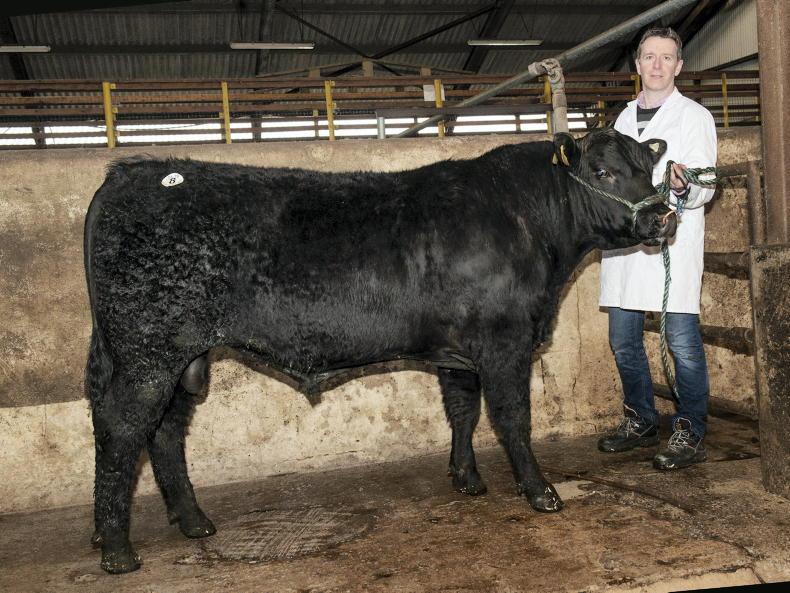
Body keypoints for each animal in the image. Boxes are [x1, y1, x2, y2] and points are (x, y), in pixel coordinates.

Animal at [84, 129, 673, 573]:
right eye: (603, 172)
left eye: (650, 167)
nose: (663, 216)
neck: (528, 221)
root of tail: (128, 172)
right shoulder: (504, 341)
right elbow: (513, 418)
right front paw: (540, 491)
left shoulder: (457, 352)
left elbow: (463, 411)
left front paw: (467, 479)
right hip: (146, 353)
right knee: (122, 429)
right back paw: (116, 549)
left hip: (184, 358)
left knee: (165, 432)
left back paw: (192, 522)